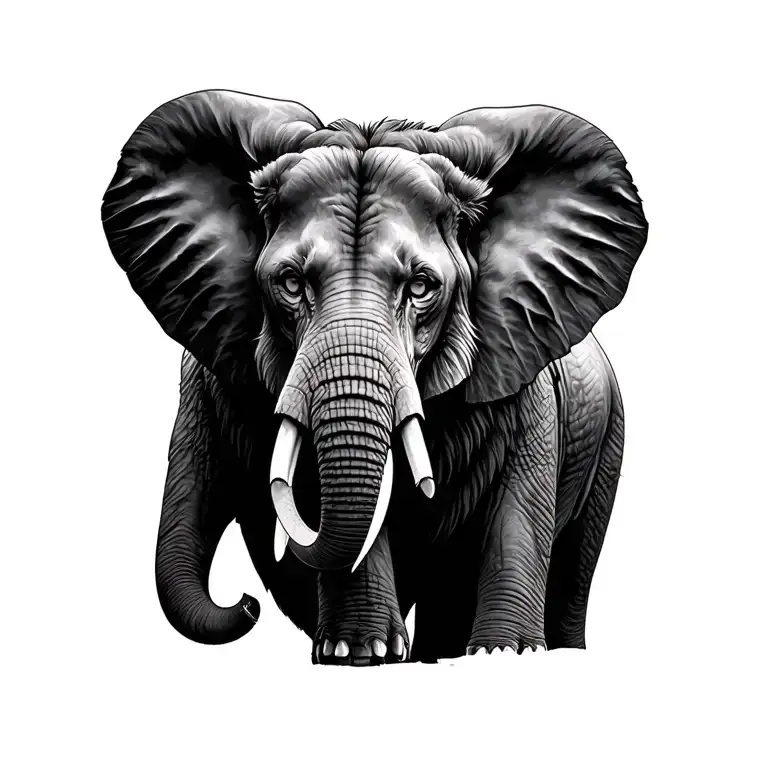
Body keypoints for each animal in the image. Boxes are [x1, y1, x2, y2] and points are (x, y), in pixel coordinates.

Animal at [101, 90, 647, 665]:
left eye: (422, 286)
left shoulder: (524, 374)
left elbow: (517, 505)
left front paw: (507, 654)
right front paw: (357, 653)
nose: (246, 603)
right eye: (290, 283)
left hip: (610, 436)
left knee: (573, 569)